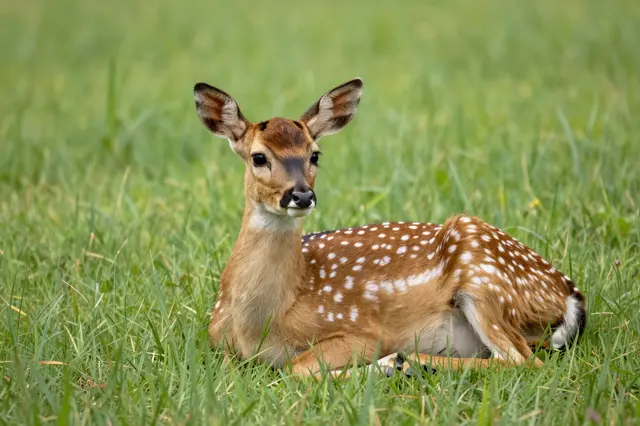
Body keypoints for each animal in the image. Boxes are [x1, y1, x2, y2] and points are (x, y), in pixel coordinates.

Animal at [193, 78, 587, 378]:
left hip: (483, 277)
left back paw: (413, 362)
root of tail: (570, 293)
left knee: (524, 362)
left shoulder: (361, 332)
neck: (261, 324)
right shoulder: (215, 343)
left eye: (315, 154)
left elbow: (295, 370)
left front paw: (385, 364)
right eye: (259, 157)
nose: (301, 195)